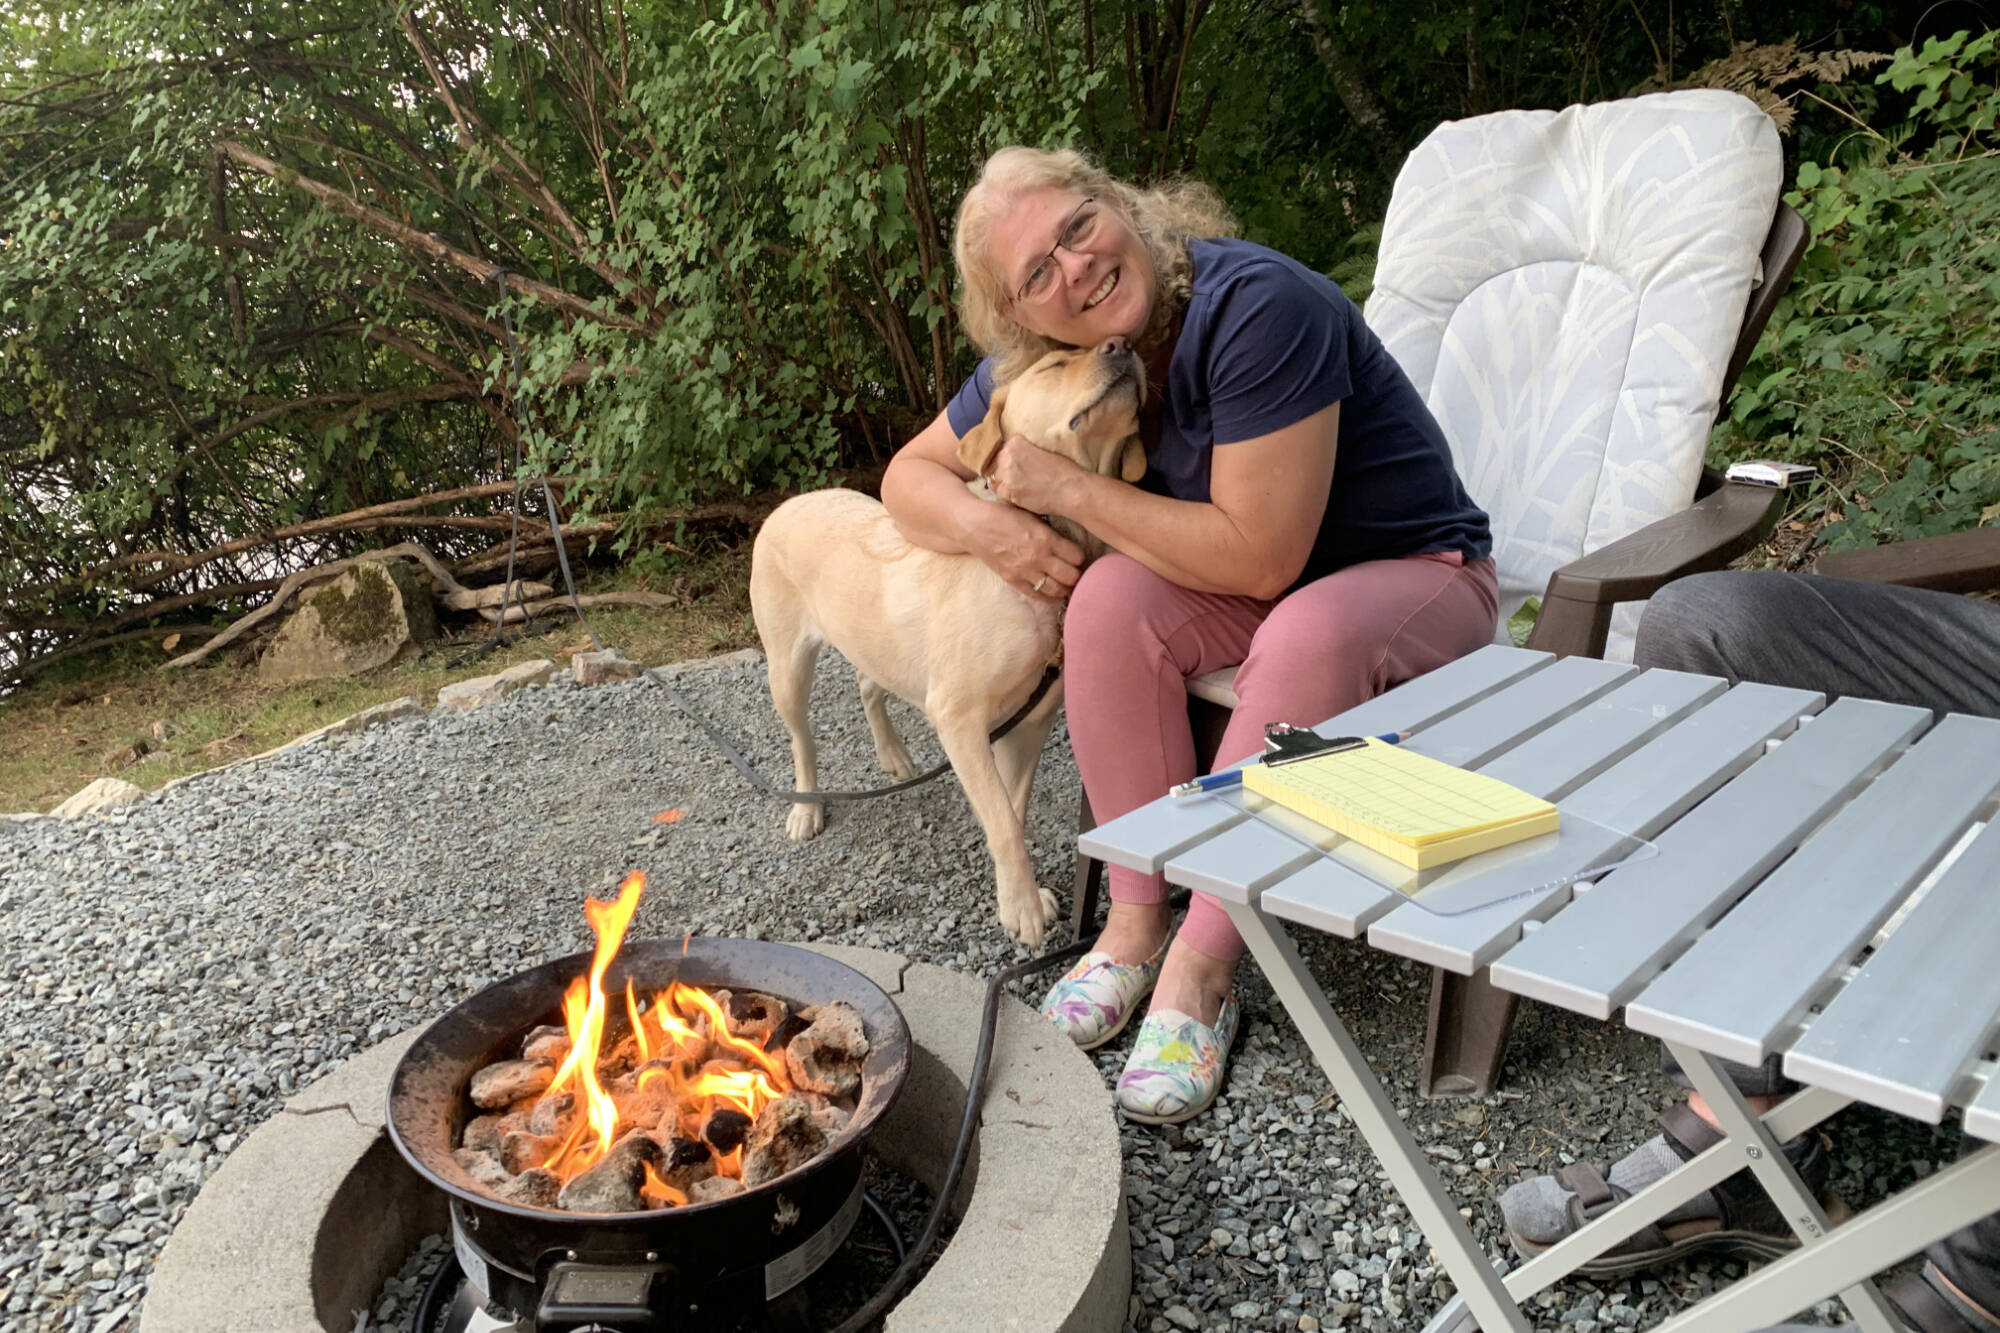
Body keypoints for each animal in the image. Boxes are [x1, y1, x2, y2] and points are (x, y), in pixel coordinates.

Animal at [748, 342, 1144, 944]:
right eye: (1053, 366)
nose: (1122, 344)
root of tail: (790, 502)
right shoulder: (958, 718)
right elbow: (1002, 820)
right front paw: (1022, 909)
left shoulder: (1031, 723)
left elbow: (1013, 809)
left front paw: (1018, 893)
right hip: (786, 669)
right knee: (802, 738)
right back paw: (807, 809)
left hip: (881, 647)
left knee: (869, 685)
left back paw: (894, 756)